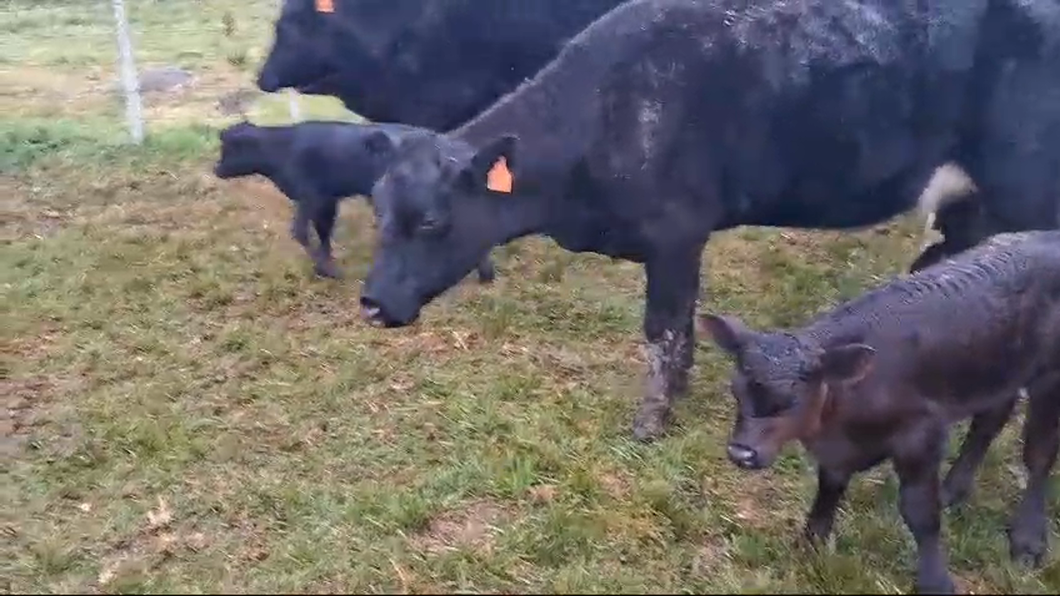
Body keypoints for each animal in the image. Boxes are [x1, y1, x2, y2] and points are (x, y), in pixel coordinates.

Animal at [214, 120, 496, 282]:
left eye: (230, 149)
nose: (216, 169)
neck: (284, 148)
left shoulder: (313, 197)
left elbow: (301, 231)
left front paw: (327, 269)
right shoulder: (327, 200)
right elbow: (323, 231)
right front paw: (324, 266)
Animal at [351, 0, 1055, 441]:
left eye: (432, 221)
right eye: (379, 209)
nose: (372, 303)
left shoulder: (676, 235)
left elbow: (663, 331)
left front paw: (650, 425)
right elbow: (683, 331)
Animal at [695, 226, 1060, 589]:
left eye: (791, 400)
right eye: (736, 390)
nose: (741, 453)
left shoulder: (921, 434)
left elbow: (919, 510)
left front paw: (936, 581)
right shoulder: (838, 450)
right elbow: (830, 485)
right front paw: (810, 543)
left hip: (1048, 378)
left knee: (1038, 455)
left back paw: (1027, 539)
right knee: (990, 420)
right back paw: (953, 490)